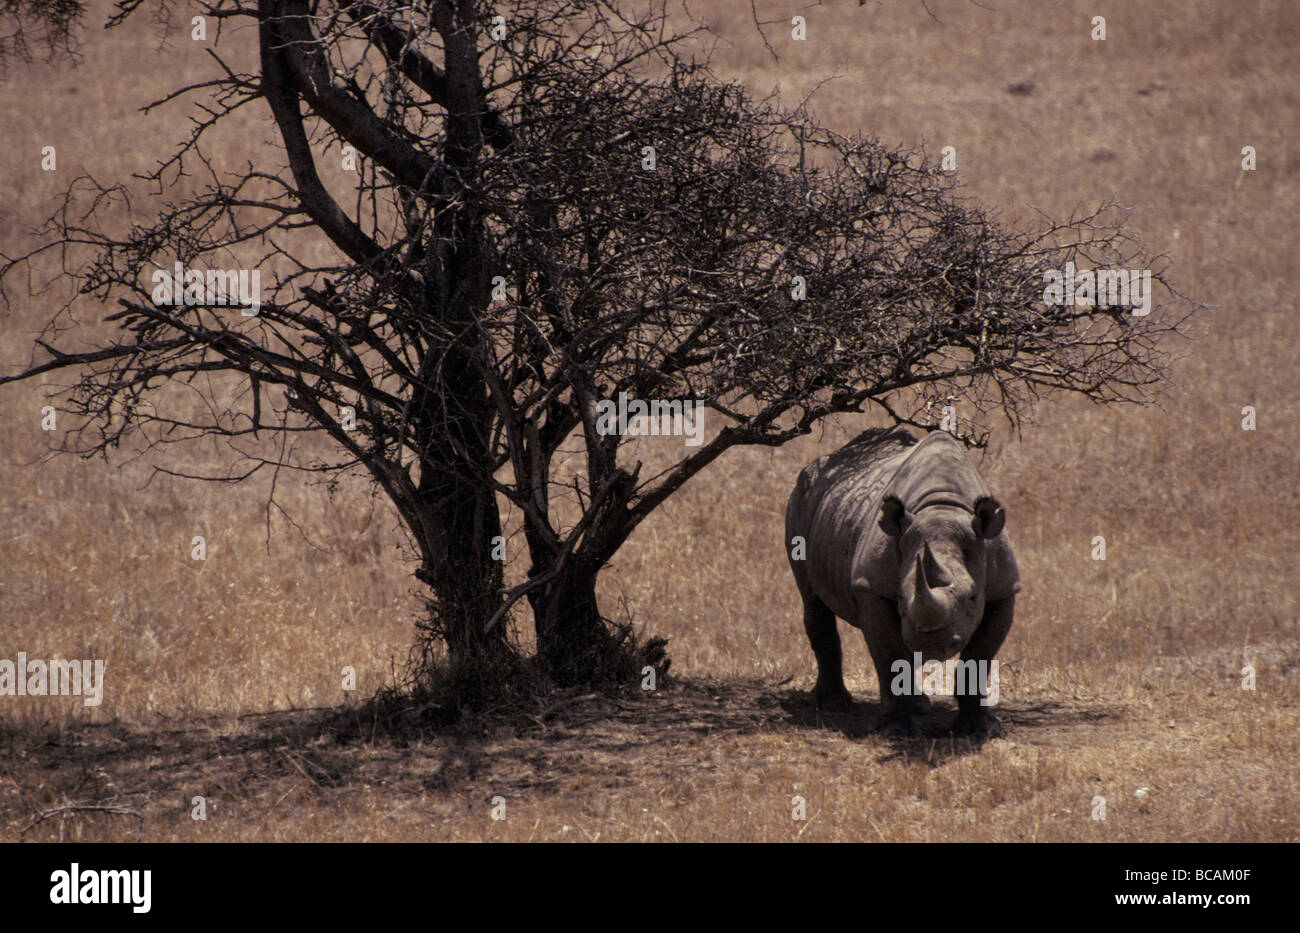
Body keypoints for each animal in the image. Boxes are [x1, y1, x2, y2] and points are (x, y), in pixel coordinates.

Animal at [785, 426, 1020, 737]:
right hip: (801, 499)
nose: (930, 643)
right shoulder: (871, 586)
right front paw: (896, 729)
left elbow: (980, 656)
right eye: (898, 598)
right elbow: (889, 655)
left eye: (973, 598)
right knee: (812, 599)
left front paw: (979, 729)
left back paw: (919, 707)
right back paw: (834, 705)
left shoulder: (1004, 589)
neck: (941, 508)